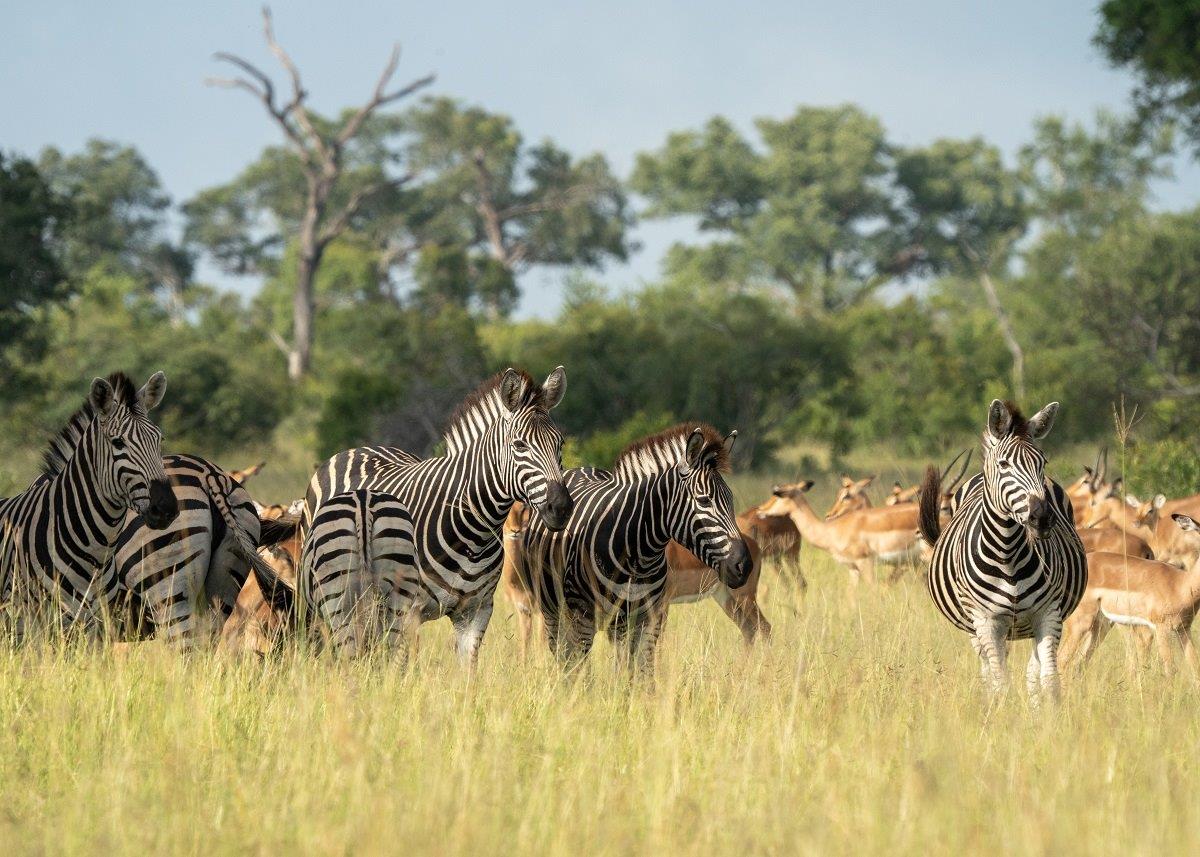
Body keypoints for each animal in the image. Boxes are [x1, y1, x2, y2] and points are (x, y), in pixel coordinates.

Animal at [0, 372, 179, 634]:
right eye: (118, 443)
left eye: (160, 439)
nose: (166, 508)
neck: (96, 552)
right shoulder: (35, 624)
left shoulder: (96, 626)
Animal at [515, 424, 751, 675]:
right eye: (704, 500)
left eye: (731, 500)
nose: (744, 566)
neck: (639, 554)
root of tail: (580, 469)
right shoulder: (583, 616)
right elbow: (583, 673)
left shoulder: (645, 618)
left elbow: (640, 673)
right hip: (554, 611)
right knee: (564, 658)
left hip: (615, 624)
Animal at [919, 399, 1087, 701]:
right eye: (1004, 464)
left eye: (1042, 463)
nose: (1042, 518)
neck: (1008, 552)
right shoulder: (986, 621)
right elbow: (999, 683)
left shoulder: (1049, 613)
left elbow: (1049, 680)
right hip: (977, 627)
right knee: (989, 672)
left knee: (1032, 672)